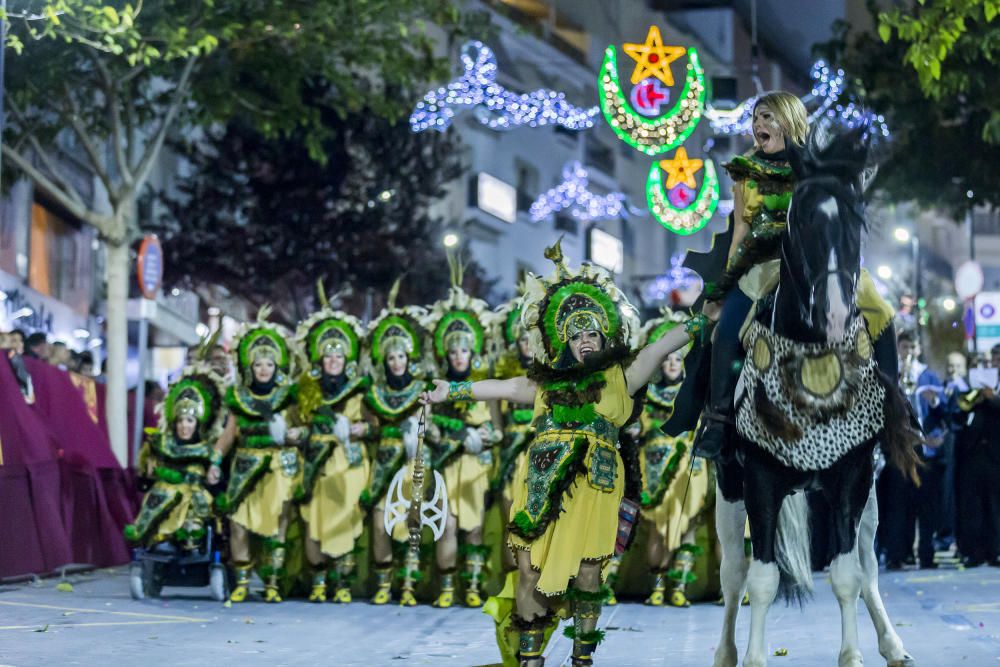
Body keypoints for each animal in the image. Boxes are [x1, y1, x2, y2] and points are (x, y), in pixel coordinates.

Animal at [708, 120, 916, 667]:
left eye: (856, 222)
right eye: (799, 219)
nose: (836, 312)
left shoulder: (853, 476)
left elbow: (848, 575)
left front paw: (853, 654)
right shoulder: (758, 480)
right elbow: (759, 580)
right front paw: (755, 658)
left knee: (867, 566)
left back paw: (893, 643)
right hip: (728, 489)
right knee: (733, 574)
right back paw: (726, 652)